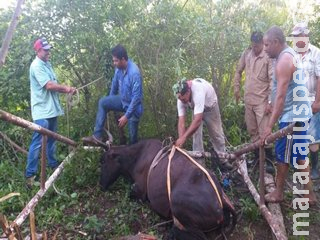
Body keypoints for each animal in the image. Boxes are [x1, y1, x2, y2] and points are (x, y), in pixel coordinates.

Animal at [100, 138, 238, 239]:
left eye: (103, 161)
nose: (101, 185)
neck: (135, 157)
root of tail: (221, 202)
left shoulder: (139, 190)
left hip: (176, 204)